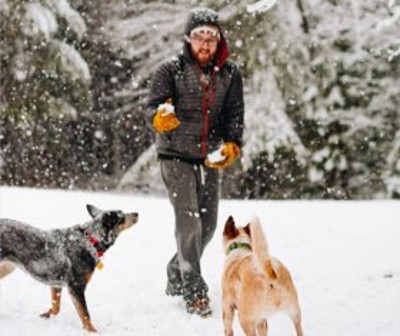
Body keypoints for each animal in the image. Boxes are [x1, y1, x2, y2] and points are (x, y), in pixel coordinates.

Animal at [0, 203, 139, 332]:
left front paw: (45, 315)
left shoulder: (56, 283)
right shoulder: (77, 286)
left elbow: (56, 307)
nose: (137, 213)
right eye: (121, 216)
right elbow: (85, 314)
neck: (90, 240)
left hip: (7, 268)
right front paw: (93, 331)